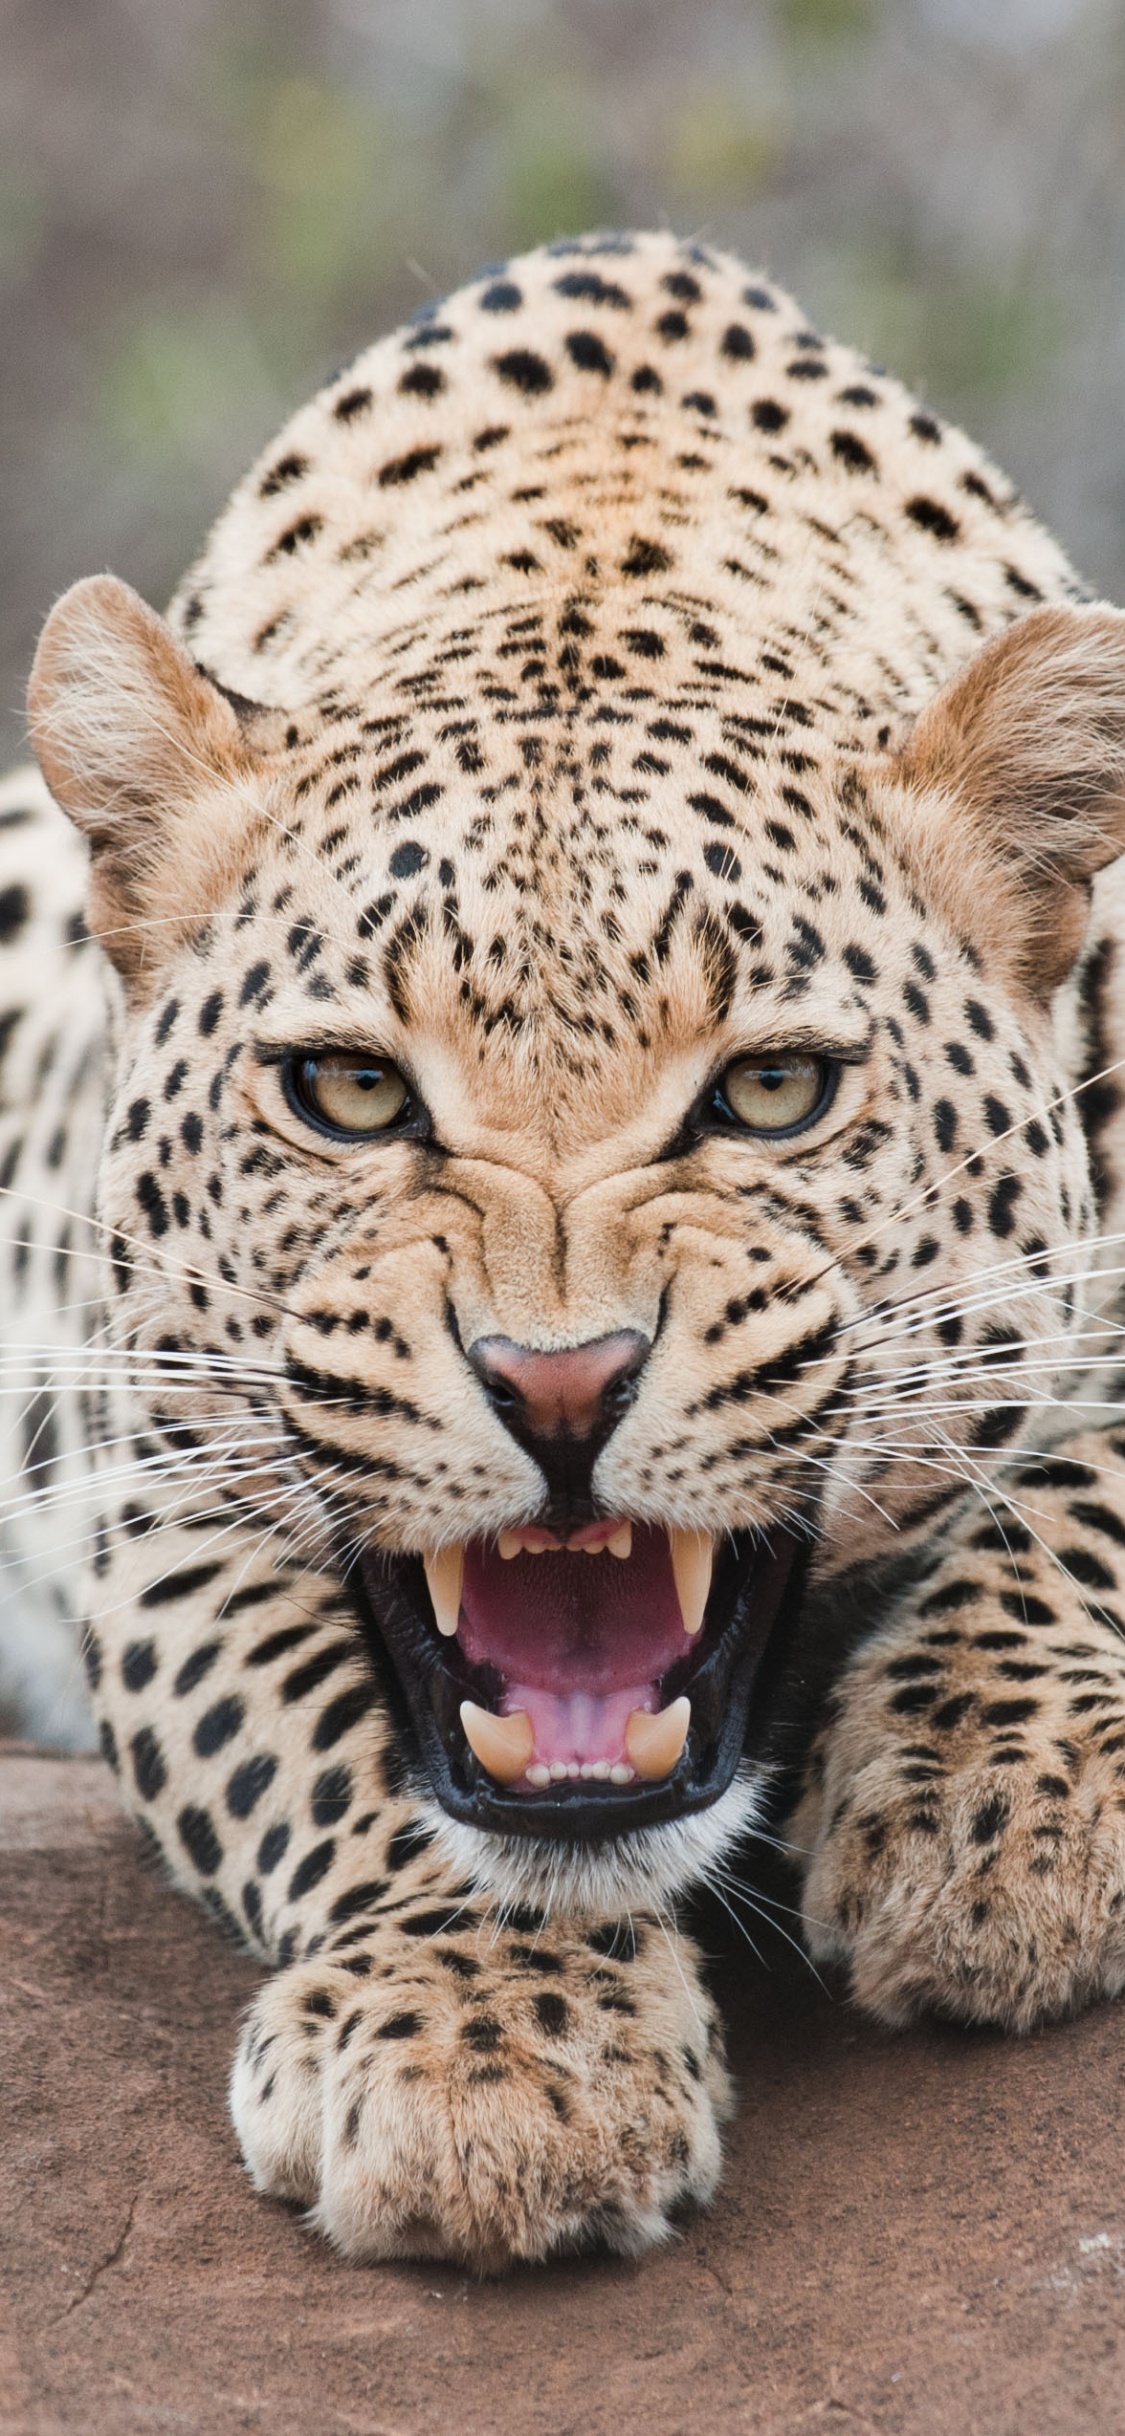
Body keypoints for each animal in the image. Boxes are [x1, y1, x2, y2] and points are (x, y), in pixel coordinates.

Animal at [6, 227, 1125, 2271]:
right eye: (351, 1091)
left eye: (771, 1090)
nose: (558, 1388)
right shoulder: (146, 1468)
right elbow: (329, 1739)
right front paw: (490, 2050)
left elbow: (1092, 1488)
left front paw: (992, 1807)